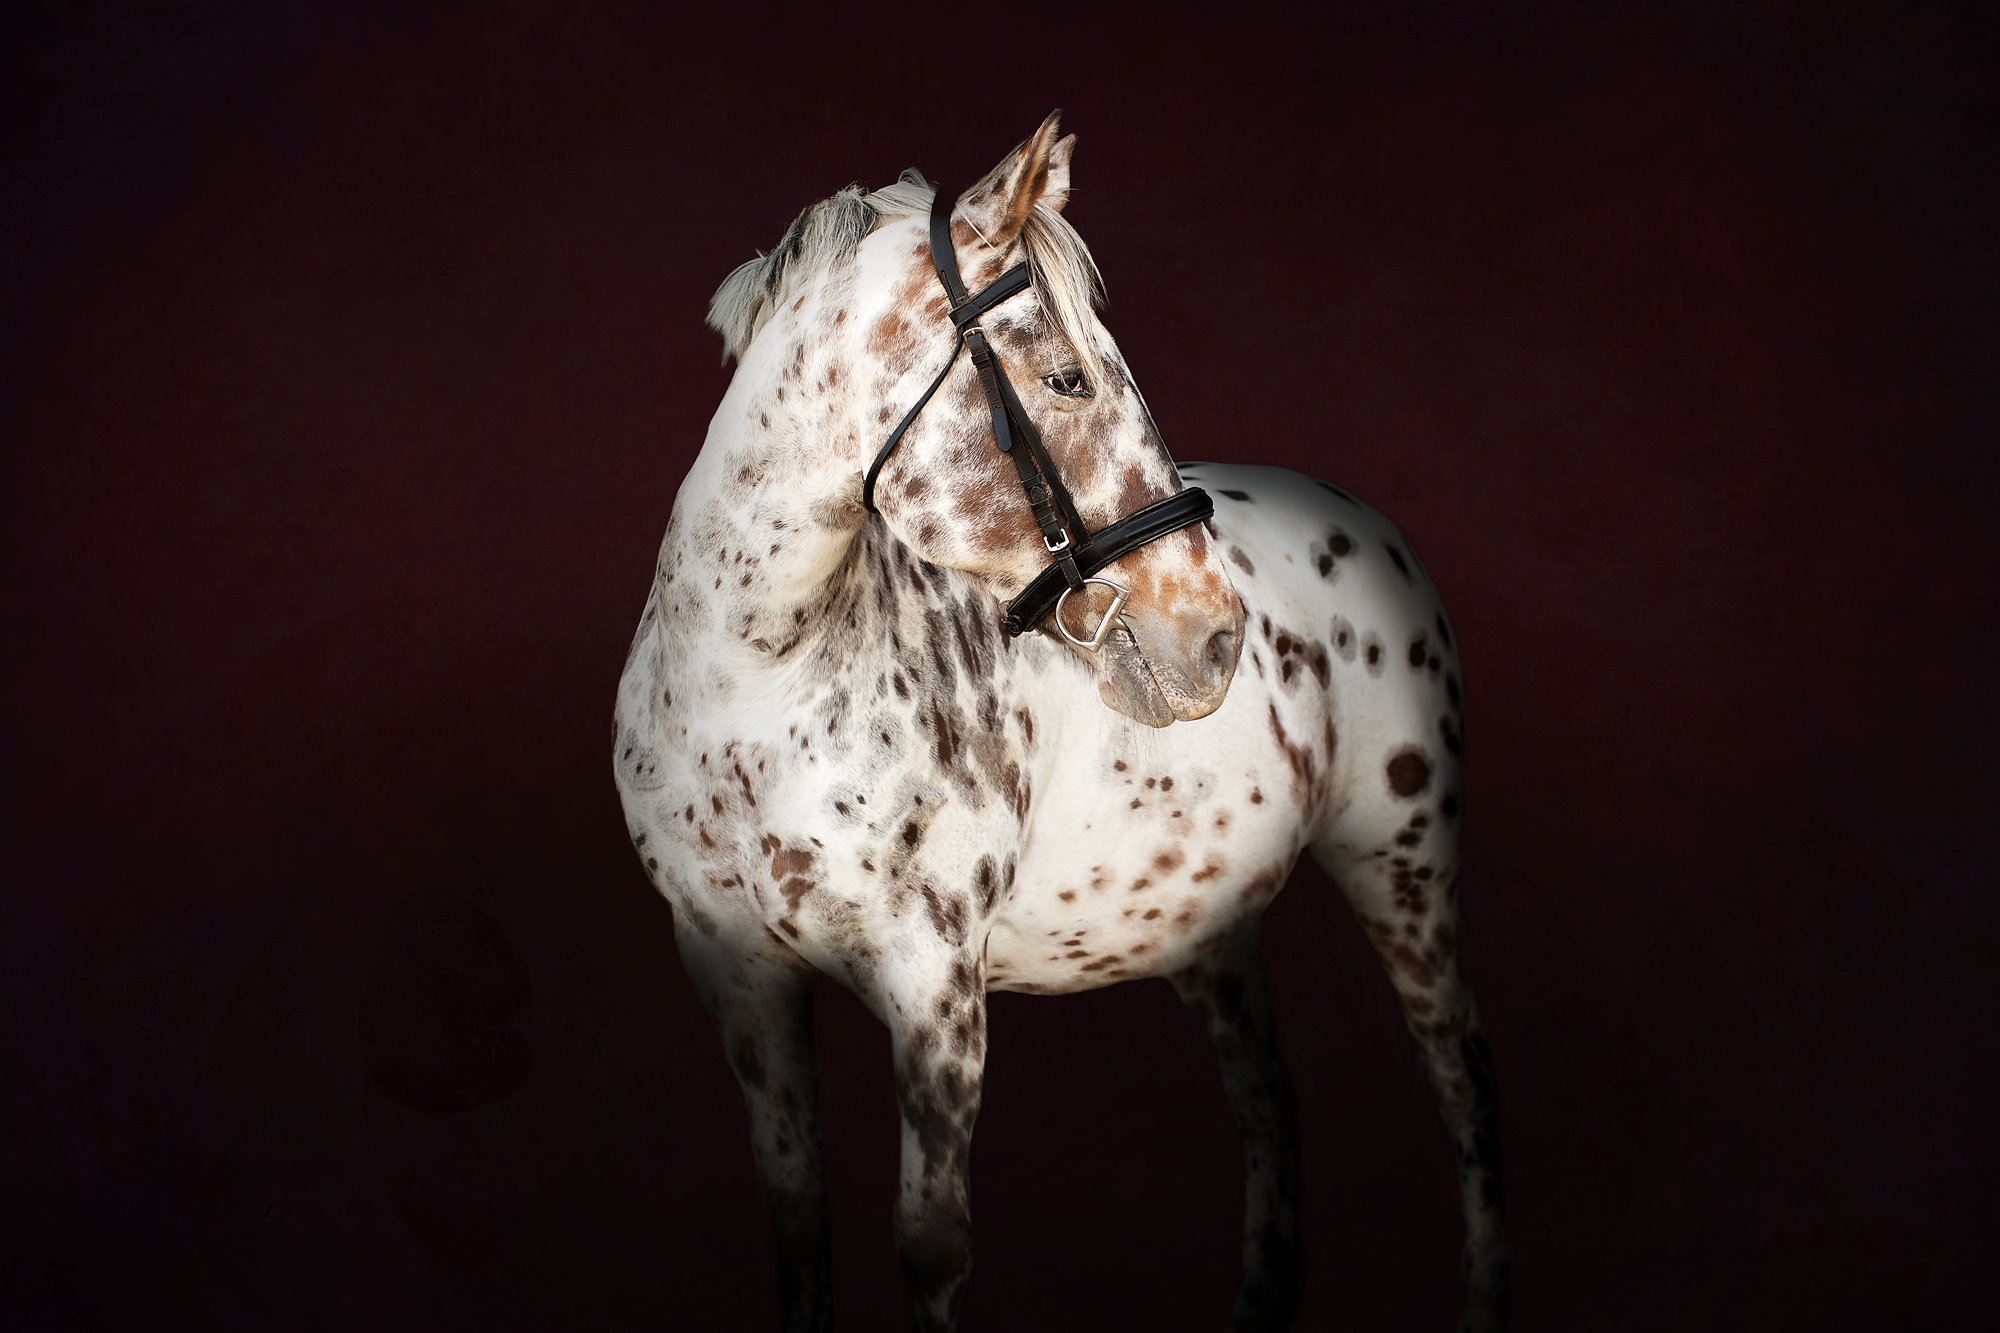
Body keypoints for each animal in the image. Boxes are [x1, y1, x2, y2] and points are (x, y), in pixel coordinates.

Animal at [613, 112, 1507, 1332]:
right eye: (1067, 376)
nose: (1210, 638)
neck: (752, 694)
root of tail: (1368, 523)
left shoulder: (933, 985)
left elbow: (931, 1244)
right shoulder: (736, 973)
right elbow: (798, 1223)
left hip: (1402, 870)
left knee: (1462, 1088)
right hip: (1213, 927)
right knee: (1270, 1110)